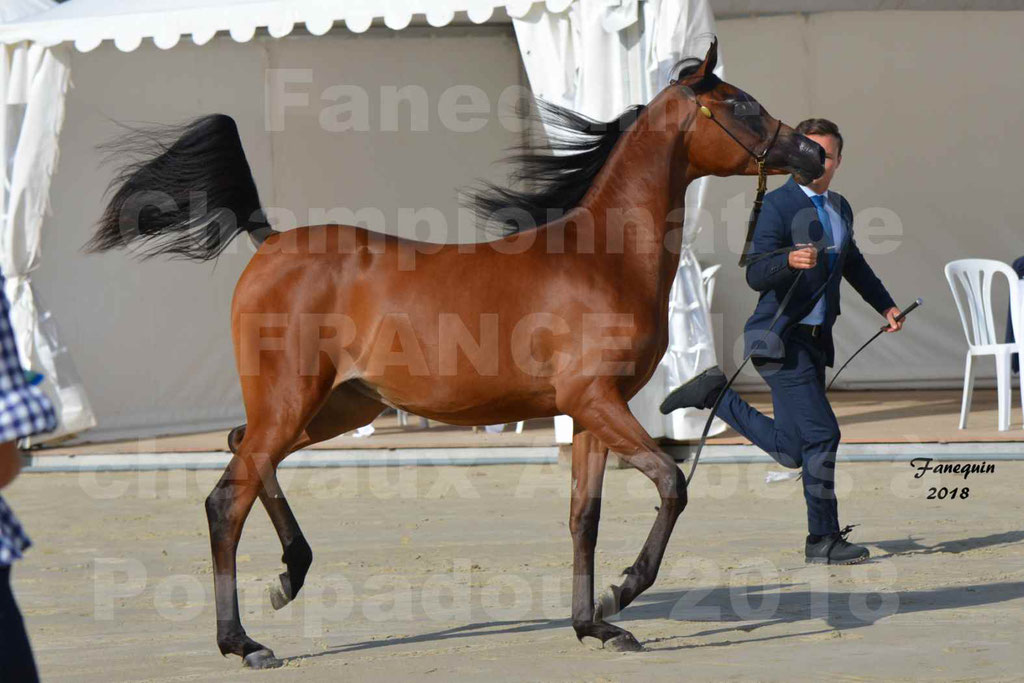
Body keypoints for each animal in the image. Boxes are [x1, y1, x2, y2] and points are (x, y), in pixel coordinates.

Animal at [88, 40, 823, 671]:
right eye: (741, 104)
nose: (813, 153)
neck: (602, 256)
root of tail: (268, 242)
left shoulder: (590, 413)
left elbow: (583, 518)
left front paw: (594, 624)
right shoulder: (595, 400)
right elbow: (672, 482)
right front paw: (622, 591)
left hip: (332, 407)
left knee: (243, 450)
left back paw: (290, 575)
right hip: (294, 401)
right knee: (226, 499)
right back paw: (243, 641)